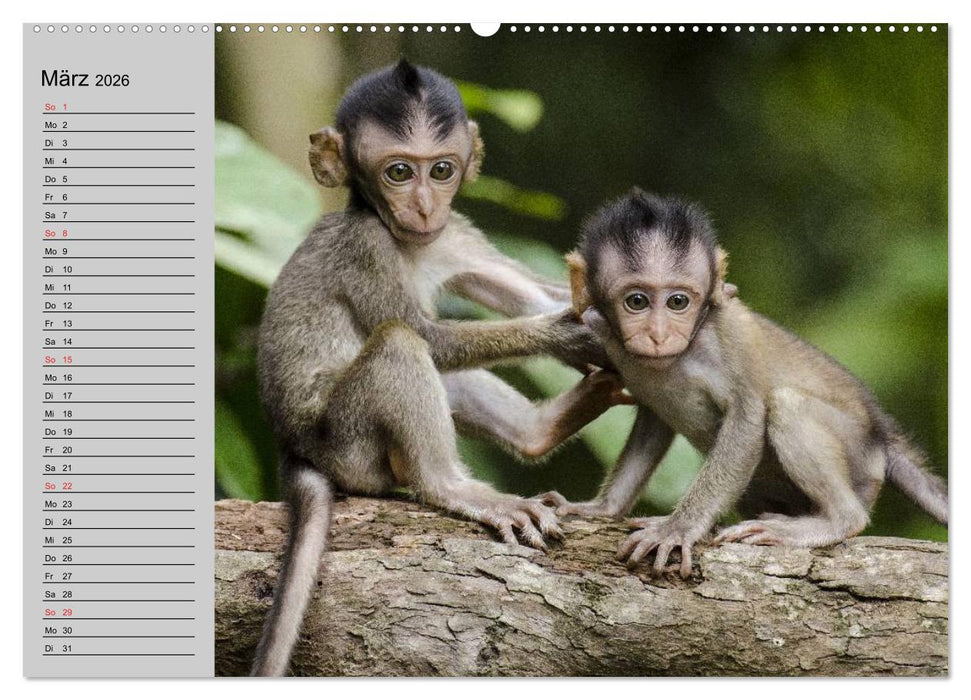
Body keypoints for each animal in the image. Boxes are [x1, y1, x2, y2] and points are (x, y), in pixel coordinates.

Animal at [250, 59, 625, 676]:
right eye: (399, 172)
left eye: (442, 169)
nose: (425, 206)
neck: (407, 241)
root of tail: (294, 448)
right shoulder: (367, 247)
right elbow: (429, 337)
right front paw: (566, 334)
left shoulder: (455, 234)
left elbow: (532, 295)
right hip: (348, 443)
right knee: (401, 344)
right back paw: (451, 486)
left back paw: (540, 429)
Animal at [541, 188, 948, 578]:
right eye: (637, 301)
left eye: (677, 302)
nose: (659, 335)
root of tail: (881, 433)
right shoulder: (605, 334)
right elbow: (653, 422)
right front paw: (600, 508)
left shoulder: (729, 335)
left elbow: (747, 418)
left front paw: (677, 528)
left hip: (858, 455)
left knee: (788, 405)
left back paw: (834, 520)